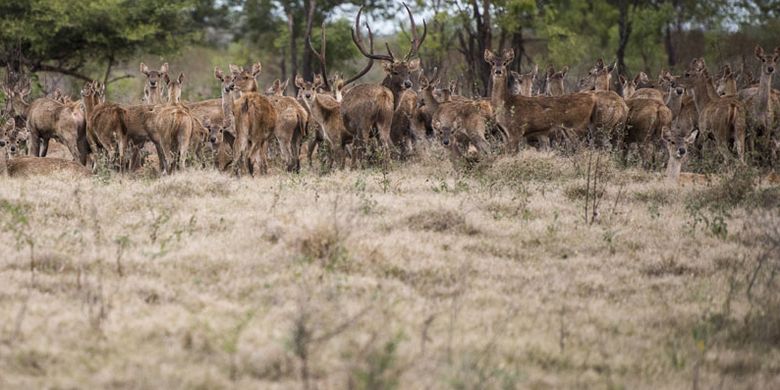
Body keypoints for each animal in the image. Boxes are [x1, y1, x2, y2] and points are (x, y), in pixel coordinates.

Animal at [342, 4, 426, 166]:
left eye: (408, 71)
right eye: (395, 71)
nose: (408, 83)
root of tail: (382, 96)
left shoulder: (355, 131)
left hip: (363, 124)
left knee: (363, 149)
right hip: (385, 122)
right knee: (386, 148)